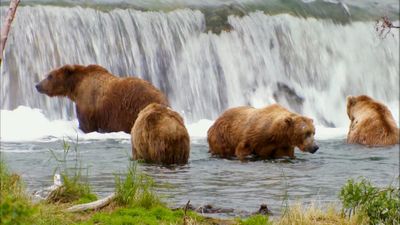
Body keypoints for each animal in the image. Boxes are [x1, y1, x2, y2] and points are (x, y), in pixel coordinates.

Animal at [36, 64, 169, 133]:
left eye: (50, 76)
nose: (37, 85)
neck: (76, 86)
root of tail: (161, 97)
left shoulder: (87, 103)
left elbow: (86, 125)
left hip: (135, 108)